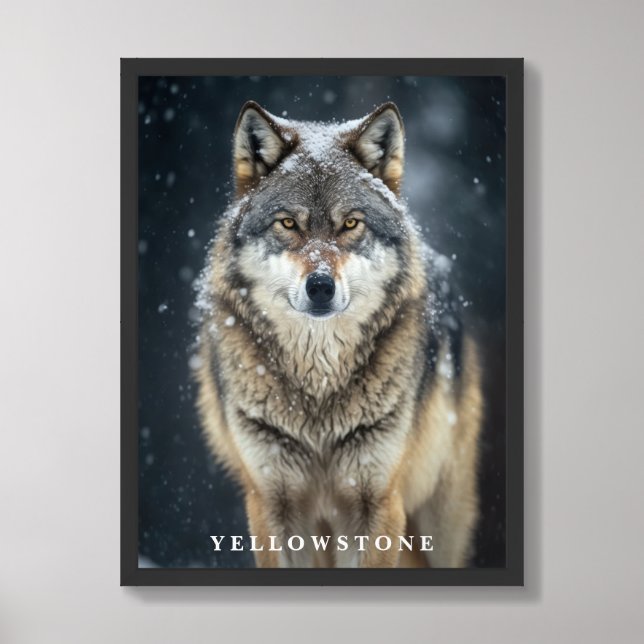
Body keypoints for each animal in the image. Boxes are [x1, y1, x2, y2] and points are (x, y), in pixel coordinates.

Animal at [195, 100, 482, 568]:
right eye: (288, 223)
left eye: (350, 224)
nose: (320, 286)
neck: (319, 390)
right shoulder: (270, 502)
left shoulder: (378, 502)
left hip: (439, 522)